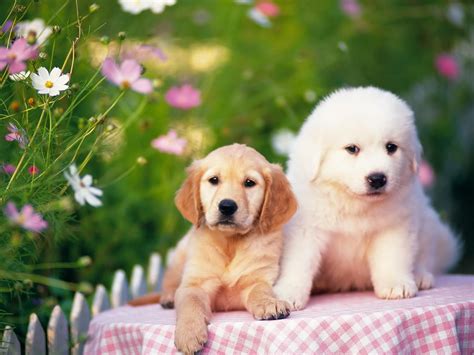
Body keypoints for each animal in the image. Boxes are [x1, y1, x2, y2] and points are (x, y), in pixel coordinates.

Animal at [131, 144, 298, 354]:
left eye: (249, 183)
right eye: (214, 180)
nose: (227, 206)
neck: (230, 243)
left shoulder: (257, 279)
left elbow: (261, 291)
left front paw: (270, 304)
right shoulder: (196, 284)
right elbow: (190, 303)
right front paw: (189, 333)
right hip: (180, 255)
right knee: (170, 281)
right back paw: (168, 297)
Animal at [274, 87, 460, 312]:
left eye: (391, 147)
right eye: (352, 149)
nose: (377, 178)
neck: (354, 203)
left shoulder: (395, 226)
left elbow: (392, 257)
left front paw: (396, 285)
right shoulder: (304, 229)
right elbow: (297, 263)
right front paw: (287, 294)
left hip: (428, 224)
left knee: (427, 256)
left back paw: (421, 276)